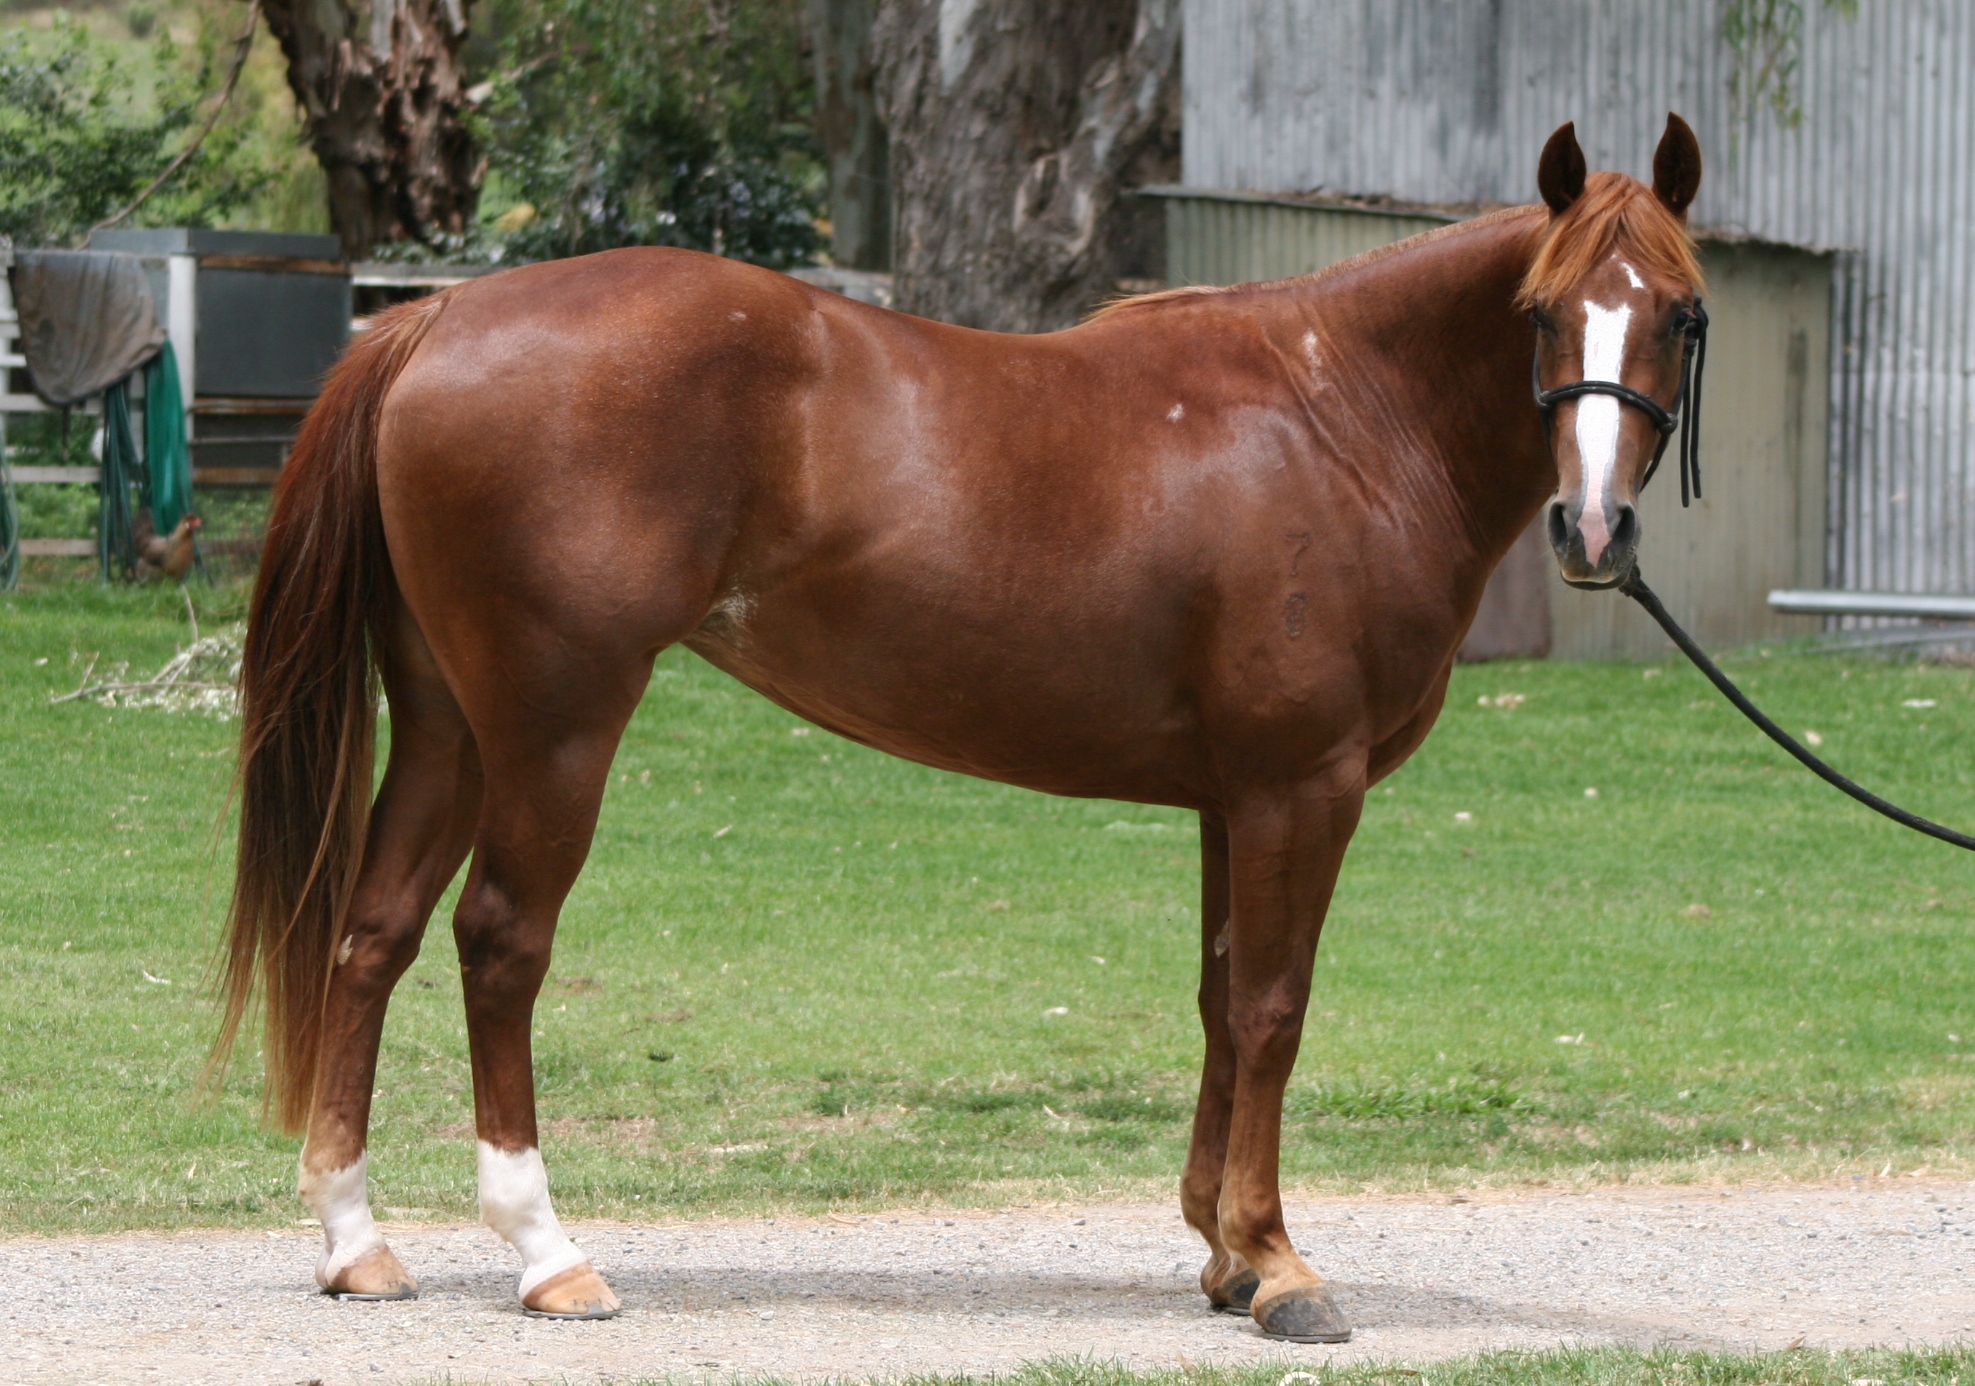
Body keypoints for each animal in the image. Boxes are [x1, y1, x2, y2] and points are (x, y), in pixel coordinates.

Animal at [216, 113, 1706, 1339]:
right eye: (1540, 311)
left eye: (1680, 315)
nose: (1591, 532)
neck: (1332, 417)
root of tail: (435, 319)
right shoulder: (1303, 785)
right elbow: (1274, 1008)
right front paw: (1280, 1266)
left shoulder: (1233, 797)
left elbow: (1221, 1001)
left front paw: (1224, 1255)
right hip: (554, 723)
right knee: (498, 944)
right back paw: (547, 1254)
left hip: (448, 722)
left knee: (373, 930)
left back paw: (356, 1243)